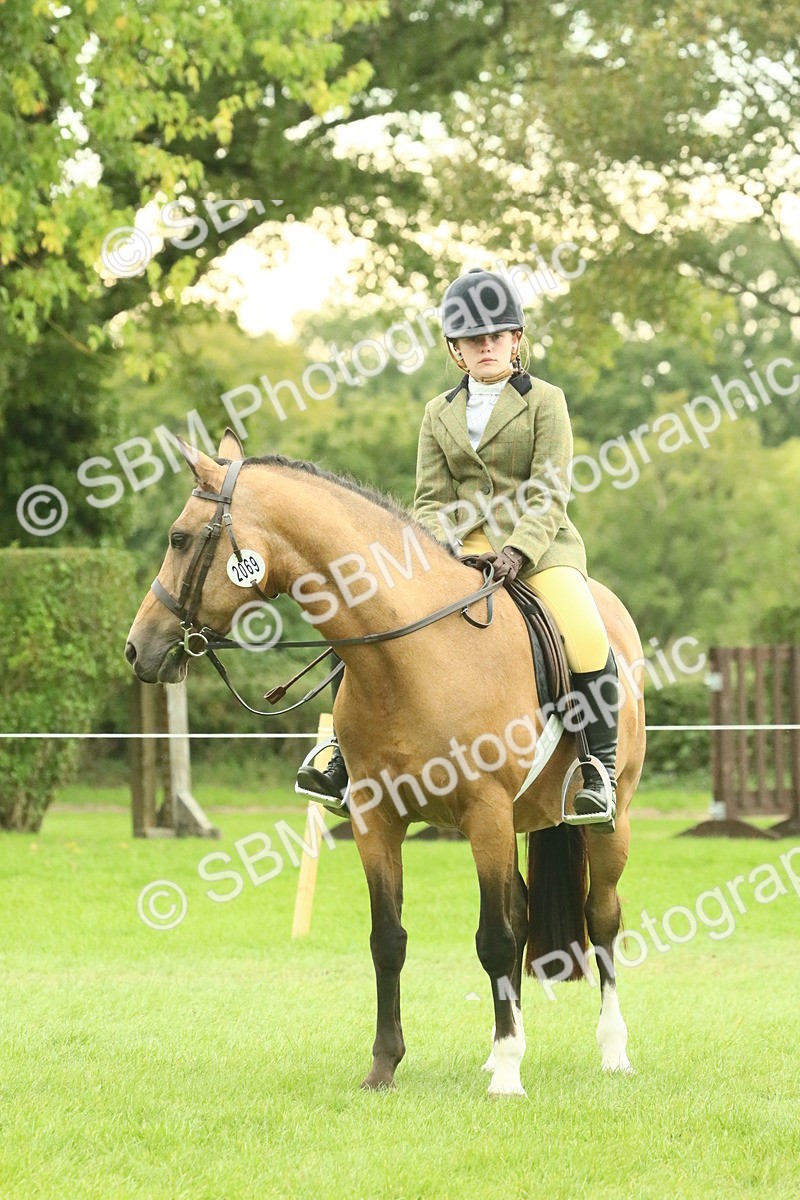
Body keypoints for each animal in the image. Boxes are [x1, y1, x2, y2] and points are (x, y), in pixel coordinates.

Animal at [125, 429, 646, 1097]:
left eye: (180, 538)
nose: (138, 648)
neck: (413, 655)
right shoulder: (376, 820)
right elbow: (388, 940)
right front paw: (385, 1066)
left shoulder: (485, 814)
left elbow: (495, 939)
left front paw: (508, 1076)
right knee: (527, 913)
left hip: (608, 822)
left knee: (601, 920)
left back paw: (611, 1050)